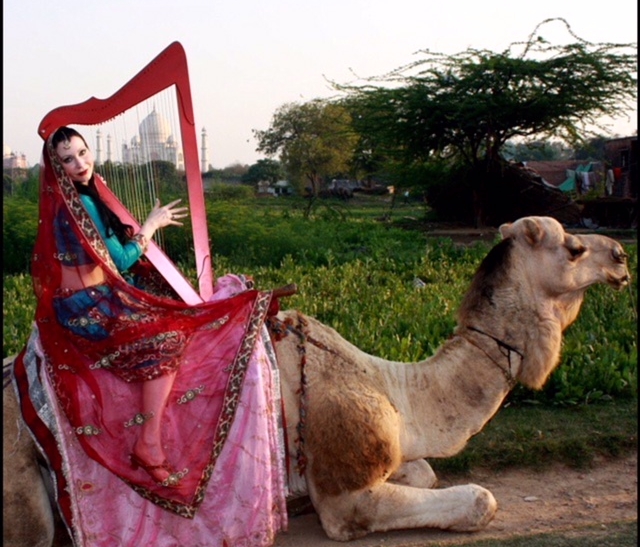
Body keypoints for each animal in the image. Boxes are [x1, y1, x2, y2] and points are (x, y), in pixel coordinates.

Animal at [1, 216, 632, 544]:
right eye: (574, 248)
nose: (623, 255)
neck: (400, 390)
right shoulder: (347, 494)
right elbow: (479, 499)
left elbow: (425, 471)